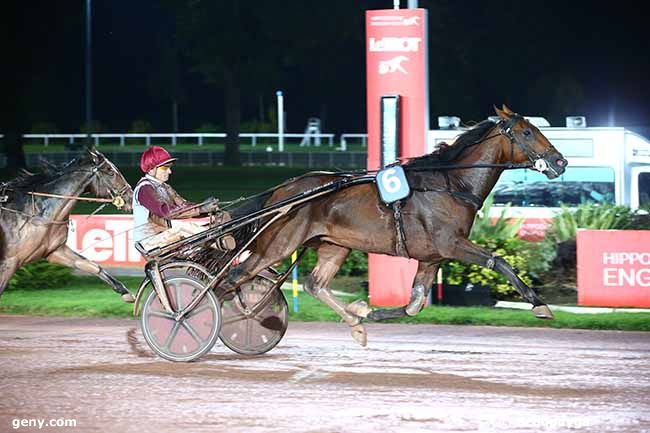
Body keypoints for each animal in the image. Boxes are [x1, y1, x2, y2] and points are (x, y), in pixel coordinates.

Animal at [0, 148, 134, 300]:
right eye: (110, 171)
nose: (131, 197)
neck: (35, 215)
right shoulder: (9, 262)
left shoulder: (55, 251)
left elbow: (91, 265)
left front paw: (125, 292)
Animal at [220, 105, 564, 344]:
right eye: (527, 132)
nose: (560, 161)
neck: (451, 183)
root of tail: (282, 190)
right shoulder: (451, 244)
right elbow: (499, 262)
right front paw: (539, 304)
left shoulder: (432, 258)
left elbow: (413, 305)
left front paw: (364, 311)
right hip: (279, 244)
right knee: (234, 277)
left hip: (334, 246)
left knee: (314, 284)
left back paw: (355, 326)